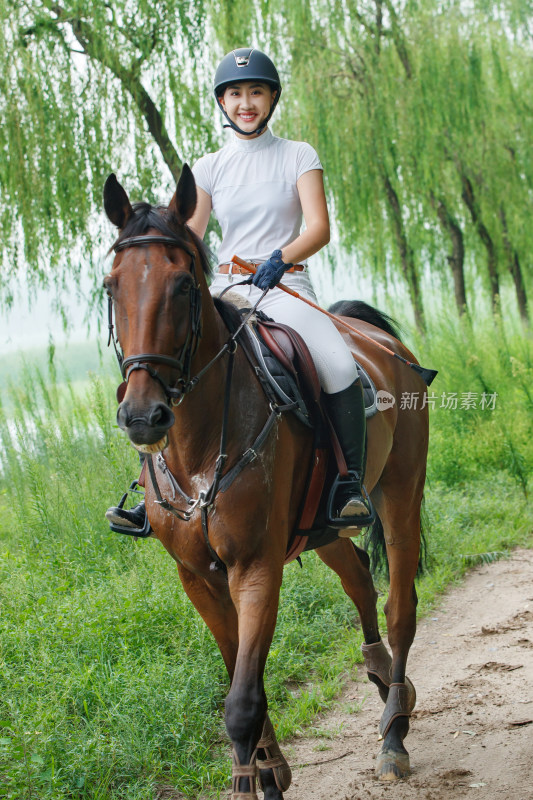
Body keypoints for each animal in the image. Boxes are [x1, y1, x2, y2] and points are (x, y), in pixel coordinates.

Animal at [103, 167, 428, 792]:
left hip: (400, 495)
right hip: (318, 529)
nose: (142, 416)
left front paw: (260, 778)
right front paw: (267, 769)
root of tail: (379, 342)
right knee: (359, 578)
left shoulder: (255, 566)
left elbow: (242, 703)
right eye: (111, 286)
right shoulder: (198, 576)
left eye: (184, 285)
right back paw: (378, 675)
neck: (199, 448)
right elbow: (239, 681)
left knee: (400, 607)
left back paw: (395, 731)